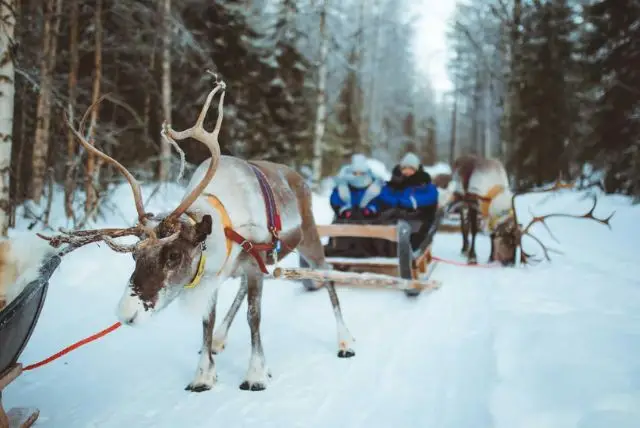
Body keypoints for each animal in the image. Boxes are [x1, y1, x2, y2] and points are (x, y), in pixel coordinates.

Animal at [38, 77, 356, 393]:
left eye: (173, 255)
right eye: (134, 255)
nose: (126, 314)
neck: (224, 225)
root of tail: (298, 177)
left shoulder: (252, 266)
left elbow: (254, 317)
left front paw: (255, 374)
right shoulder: (214, 274)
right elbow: (207, 320)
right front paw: (204, 373)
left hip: (309, 238)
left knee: (327, 275)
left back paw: (345, 341)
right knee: (242, 290)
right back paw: (219, 340)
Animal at [447, 154, 614, 265]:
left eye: (518, 243)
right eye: (509, 241)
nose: (509, 263)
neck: (494, 193)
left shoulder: (488, 214)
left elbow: (491, 234)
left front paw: (489, 257)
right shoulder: (473, 202)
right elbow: (475, 231)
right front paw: (472, 258)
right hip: (461, 200)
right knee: (464, 225)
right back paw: (464, 248)